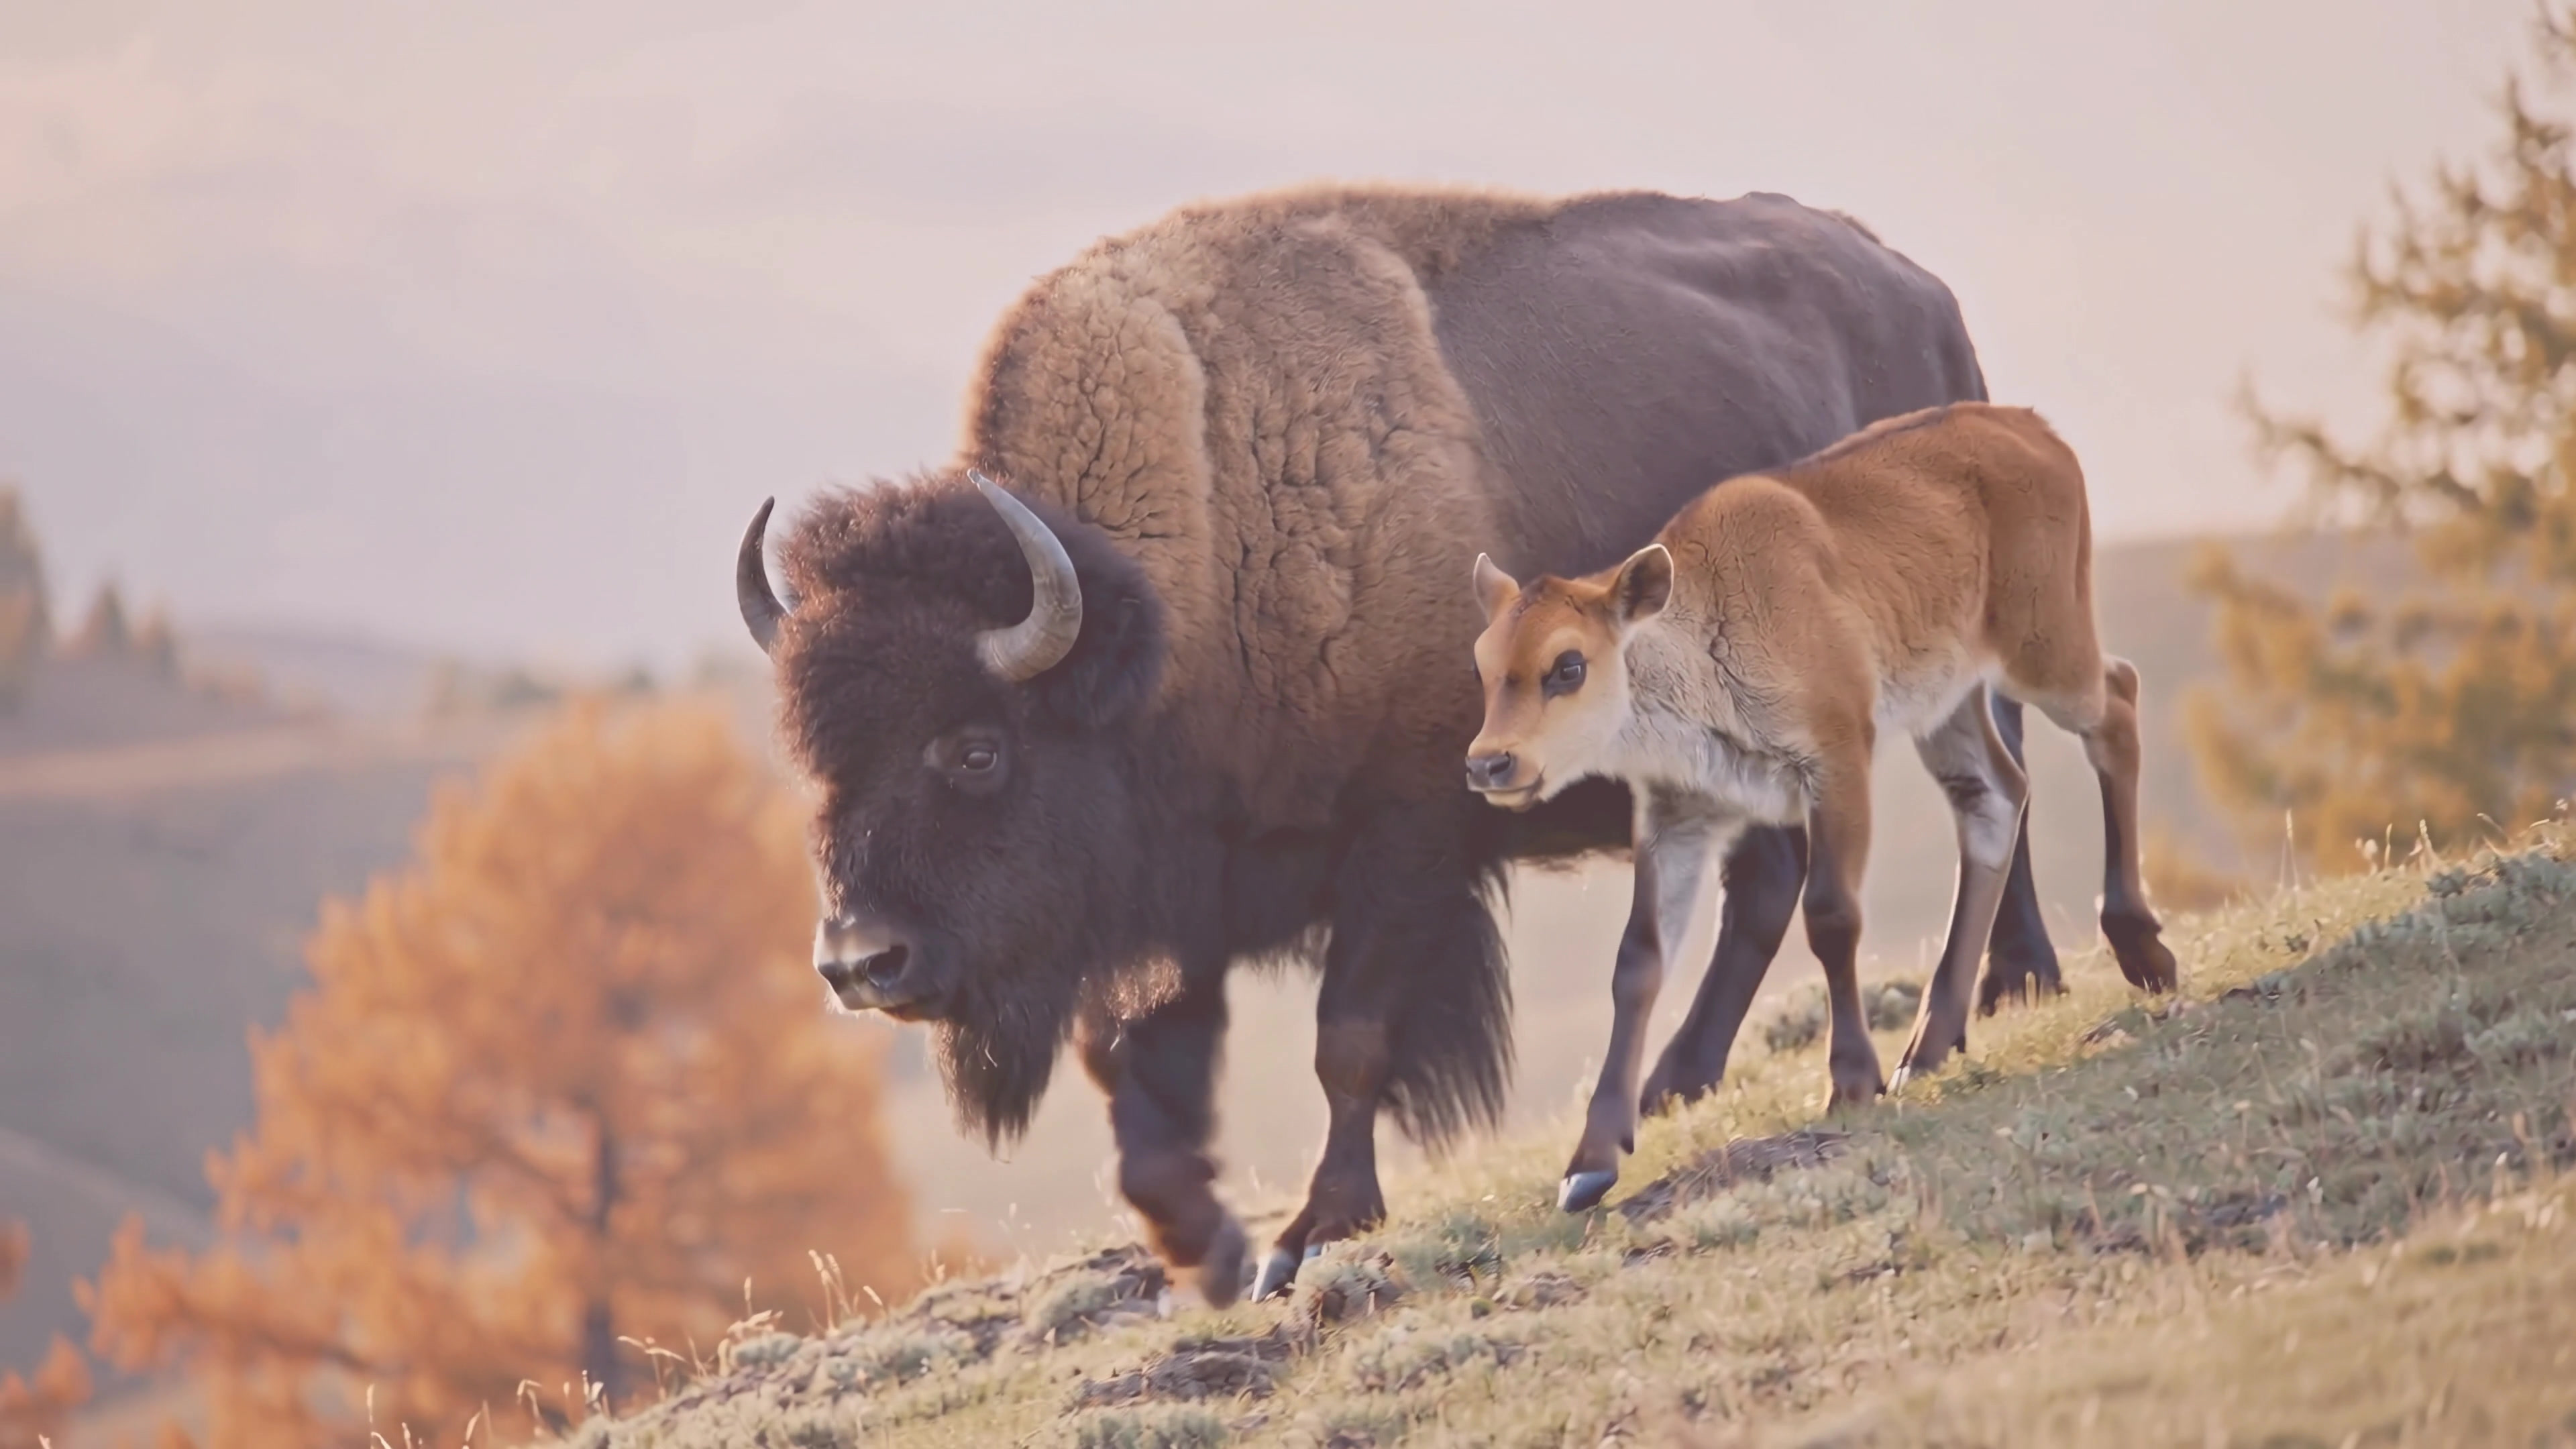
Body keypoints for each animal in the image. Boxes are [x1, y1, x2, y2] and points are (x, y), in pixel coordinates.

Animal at [730, 184, 2070, 1307]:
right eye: (814, 758)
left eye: (974, 749)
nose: (859, 963)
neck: (1191, 556)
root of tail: (1923, 297)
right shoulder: (1180, 904)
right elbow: (1139, 1080)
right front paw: (1212, 1253)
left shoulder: (1404, 840)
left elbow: (1351, 1042)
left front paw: (1314, 1232)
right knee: (1778, 877)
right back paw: (1680, 1081)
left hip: (1964, 653)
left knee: (1990, 791)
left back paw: (2015, 987)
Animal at [1464, 403, 2180, 1208]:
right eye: (1485, 665)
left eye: (1568, 665)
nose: (1489, 763)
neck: (1700, 632)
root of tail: (2031, 427)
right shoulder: (1679, 815)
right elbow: (1639, 961)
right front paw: (1589, 1164)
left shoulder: (1837, 766)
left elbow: (1832, 916)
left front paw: (1851, 1082)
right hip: (1950, 704)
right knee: (1995, 797)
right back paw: (1926, 1048)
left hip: (2046, 650)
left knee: (2116, 703)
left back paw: (2143, 952)